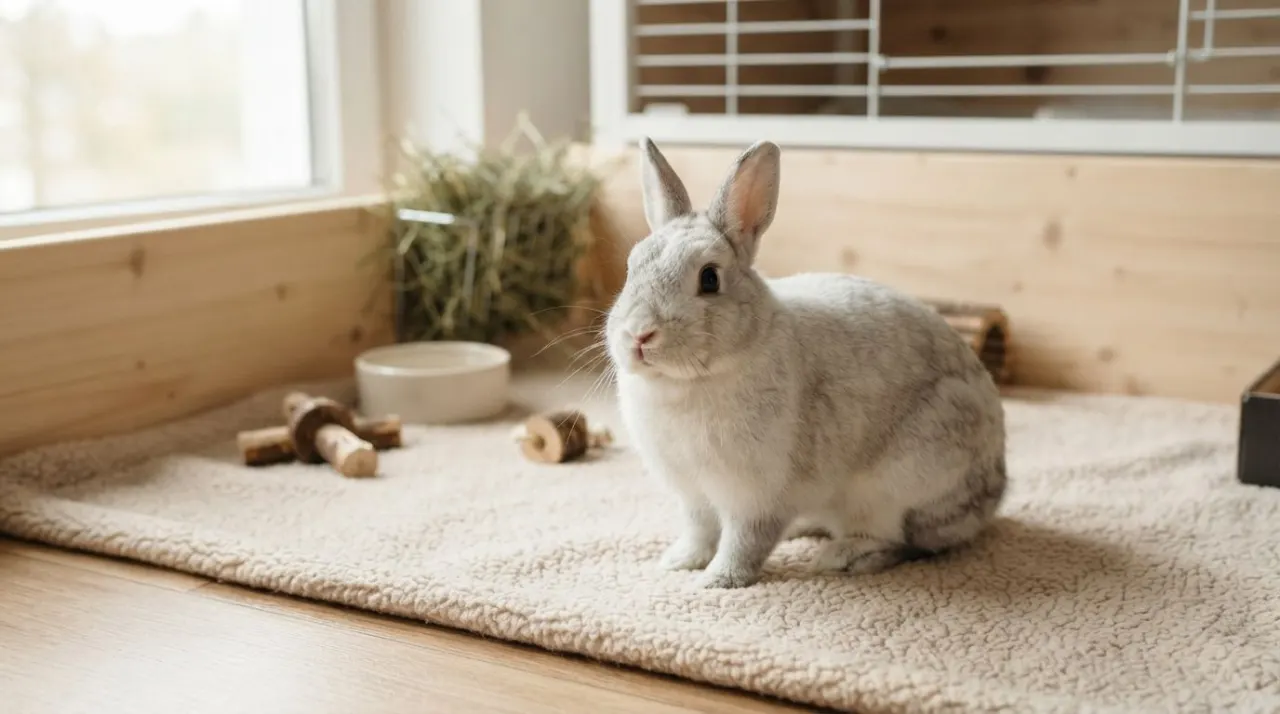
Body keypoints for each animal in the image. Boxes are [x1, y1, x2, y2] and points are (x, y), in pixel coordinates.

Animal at [604, 137, 1008, 589]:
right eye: (630, 268)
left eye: (709, 278)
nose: (639, 335)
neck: (689, 381)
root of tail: (992, 495)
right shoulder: (693, 494)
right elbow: (700, 530)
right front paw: (679, 562)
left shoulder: (756, 495)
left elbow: (744, 540)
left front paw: (719, 580)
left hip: (896, 484)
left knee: (902, 541)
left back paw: (843, 557)